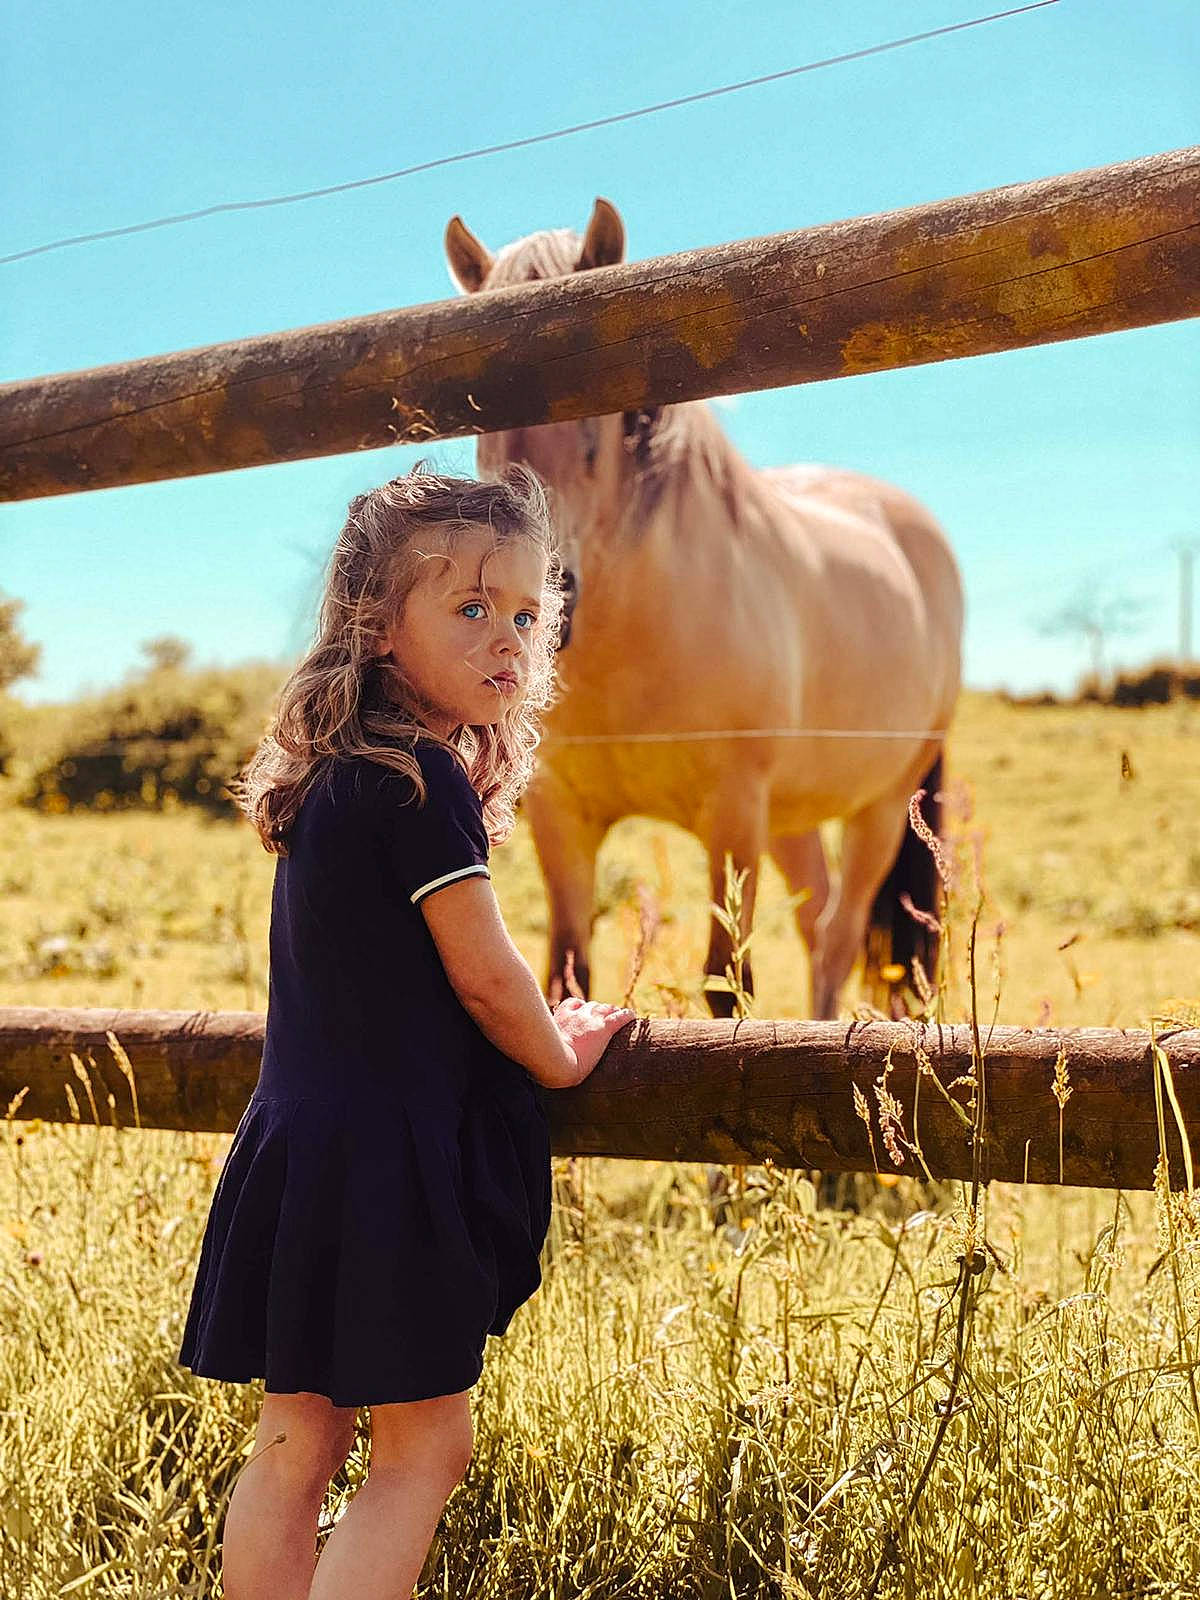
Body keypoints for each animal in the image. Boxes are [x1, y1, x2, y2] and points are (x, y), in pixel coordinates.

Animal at [444, 197, 964, 1029]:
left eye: (609, 422)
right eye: (477, 423)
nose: (545, 604)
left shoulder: (733, 815)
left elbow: (726, 985)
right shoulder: (564, 820)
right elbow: (564, 978)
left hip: (881, 808)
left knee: (842, 935)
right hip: (794, 819)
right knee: (818, 926)